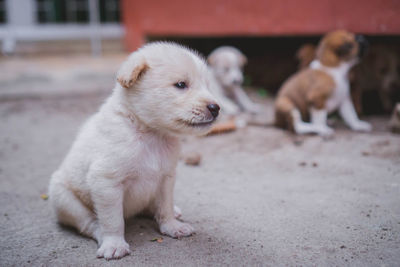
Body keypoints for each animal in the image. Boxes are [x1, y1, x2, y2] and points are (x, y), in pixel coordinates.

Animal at [49, 43, 222, 260]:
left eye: (207, 85)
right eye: (181, 85)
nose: (216, 108)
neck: (150, 133)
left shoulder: (166, 177)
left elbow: (165, 206)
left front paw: (171, 226)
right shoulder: (106, 182)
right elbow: (113, 220)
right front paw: (114, 244)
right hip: (64, 200)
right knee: (90, 222)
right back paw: (101, 233)